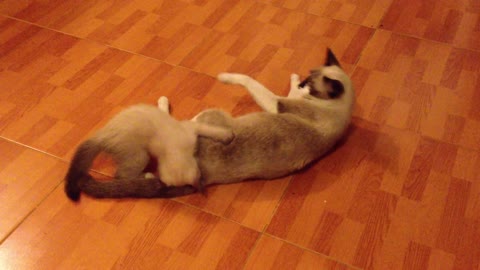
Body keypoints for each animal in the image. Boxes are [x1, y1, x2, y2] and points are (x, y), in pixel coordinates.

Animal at [64, 96, 233, 200]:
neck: (175, 151)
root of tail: (100, 136)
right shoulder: (190, 128)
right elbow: (211, 130)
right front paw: (228, 136)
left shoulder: (188, 126)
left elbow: (164, 110)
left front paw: (163, 101)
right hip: (141, 156)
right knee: (121, 175)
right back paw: (148, 175)